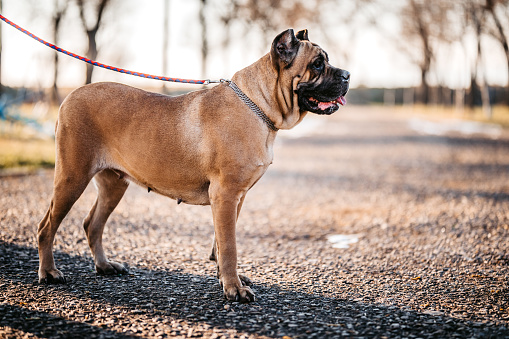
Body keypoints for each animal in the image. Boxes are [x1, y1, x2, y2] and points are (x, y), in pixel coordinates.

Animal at [37, 27, 350, 302]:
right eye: (318, 64)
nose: (348, 74)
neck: (258, 105)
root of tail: (70, 96)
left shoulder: (236, 198)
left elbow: (221, 243)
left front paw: (227, 279)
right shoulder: (225, 195)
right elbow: (230, 245)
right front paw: (234, 289)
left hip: (114, 185)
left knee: (93, 224)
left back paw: (104, 266)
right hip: (72, 177)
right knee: (46, 227)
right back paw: (49, 273)